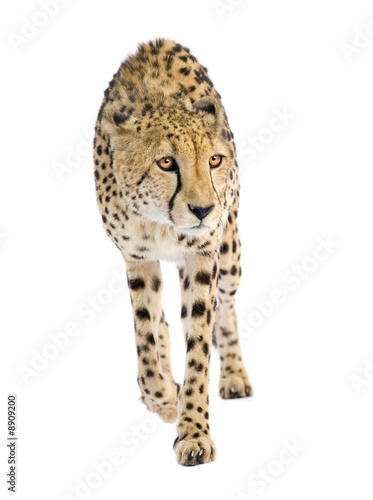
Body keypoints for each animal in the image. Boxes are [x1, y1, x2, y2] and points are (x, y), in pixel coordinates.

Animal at [93, 38, 253, 464]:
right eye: (166, 162)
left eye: (214, 160)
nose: (203, 210)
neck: (161, 221)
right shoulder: (138, 259)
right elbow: (146, 334)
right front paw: (163, 396)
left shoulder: (203, 256)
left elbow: (199, 345)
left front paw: (193, 431)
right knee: (162, 322)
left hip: (230, 253)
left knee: (226, 307)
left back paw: (234, 375)